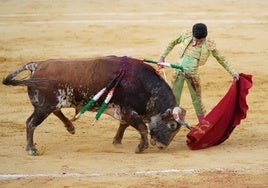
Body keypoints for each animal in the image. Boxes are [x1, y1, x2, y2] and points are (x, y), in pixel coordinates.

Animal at [2, 55, 187, 156]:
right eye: (172, 125)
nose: (162, 146)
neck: (145, 86)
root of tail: (36, 65)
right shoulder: (127, 110)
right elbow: (141, 127)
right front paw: (140, 147)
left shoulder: (124, 112)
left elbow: (124, 125)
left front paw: (117, 141)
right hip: (43, 107)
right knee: (31, 123)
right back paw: (31, 149)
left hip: (48, 105)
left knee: (55, 112)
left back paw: (70, 127)